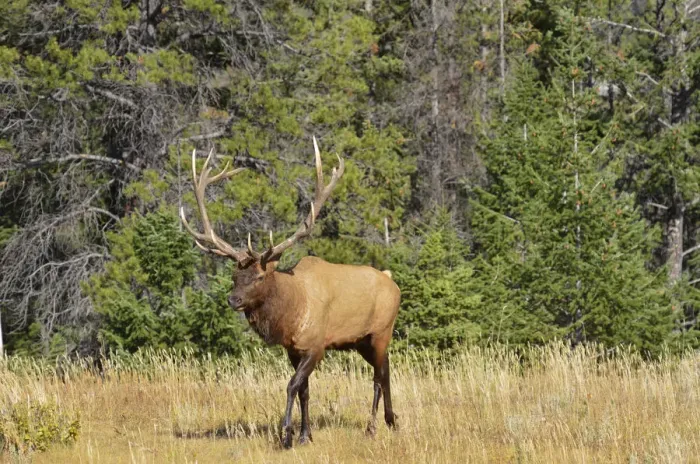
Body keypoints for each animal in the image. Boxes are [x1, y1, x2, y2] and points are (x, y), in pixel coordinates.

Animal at [180, 137, 400, 448]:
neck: (291, 314)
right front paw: (305, 434)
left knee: (378, 376)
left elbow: (292, 384)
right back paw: (392, 421)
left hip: (381, 331)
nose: (233, 299)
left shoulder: (316, 346)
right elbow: (305, 390)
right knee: (386, 368)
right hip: (361, 341)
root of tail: (392, 281)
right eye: (234, 276)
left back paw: (373, 427)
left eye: (260, 276)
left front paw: (286, 433)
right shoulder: (293, 350)